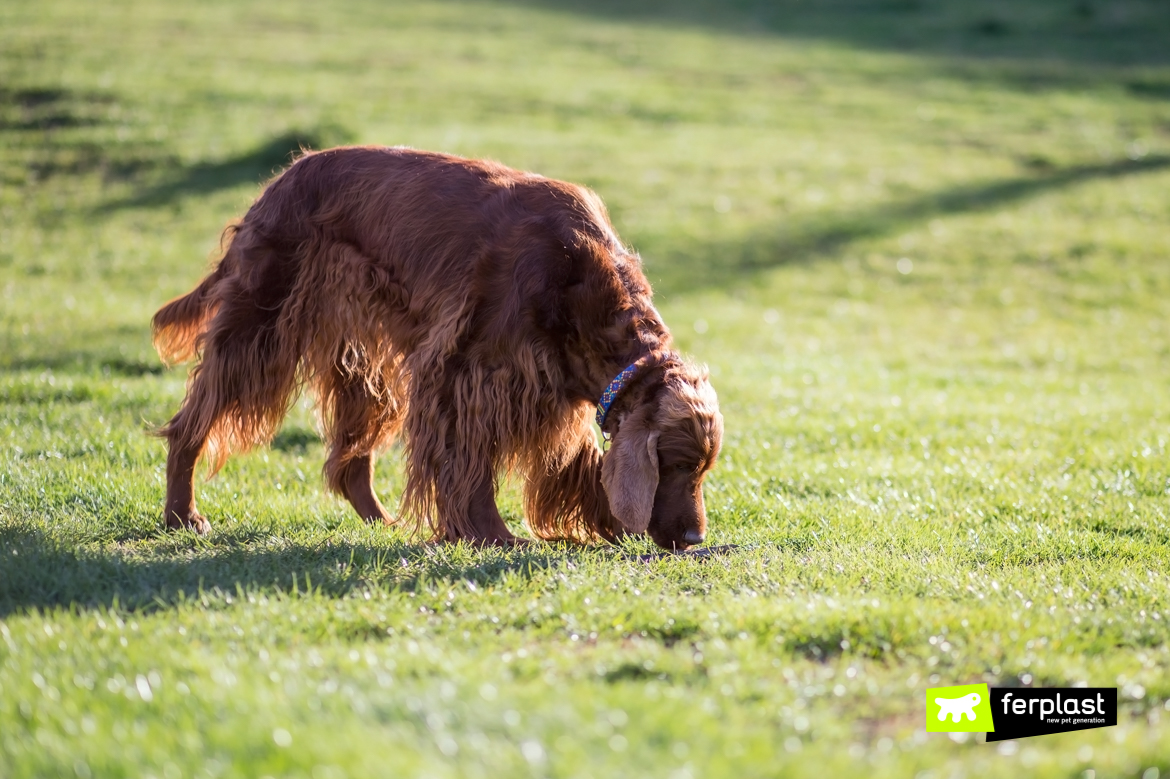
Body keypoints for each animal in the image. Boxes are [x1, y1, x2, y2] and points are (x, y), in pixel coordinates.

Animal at [153, 143, 720, 545]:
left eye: (702, 467)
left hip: (364, 363)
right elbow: (472, 468)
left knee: (350, 462)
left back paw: (381, 522)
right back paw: (183, 514)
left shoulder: (554, 390)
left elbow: (578, 460)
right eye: (676, 464)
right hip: (259, 329)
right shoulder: (468, 372)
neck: (580, 276)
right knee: (191, 423)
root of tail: (282, 177)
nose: (694, 538)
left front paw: (605, 523)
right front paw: (493, 536)